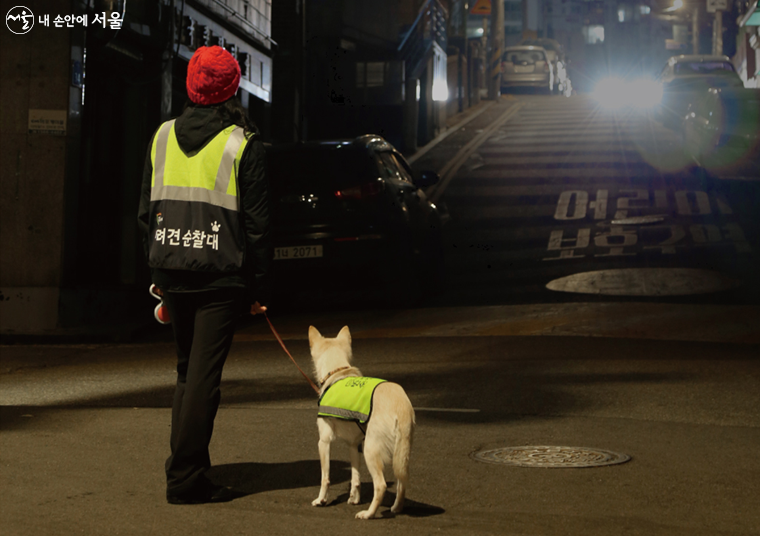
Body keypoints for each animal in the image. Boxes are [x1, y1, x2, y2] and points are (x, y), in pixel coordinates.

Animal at [308, 324, 416, 516]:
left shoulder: (324, 442)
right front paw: (354, 498)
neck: (337, 372)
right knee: (402, 482)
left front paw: (321, 500)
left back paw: (368, 514)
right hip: (401, 454)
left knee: (380, 485)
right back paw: (396, 508)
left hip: (371, 451)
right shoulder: (354, 445)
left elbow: (325, 478)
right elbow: (355, 478)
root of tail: (401, 405)